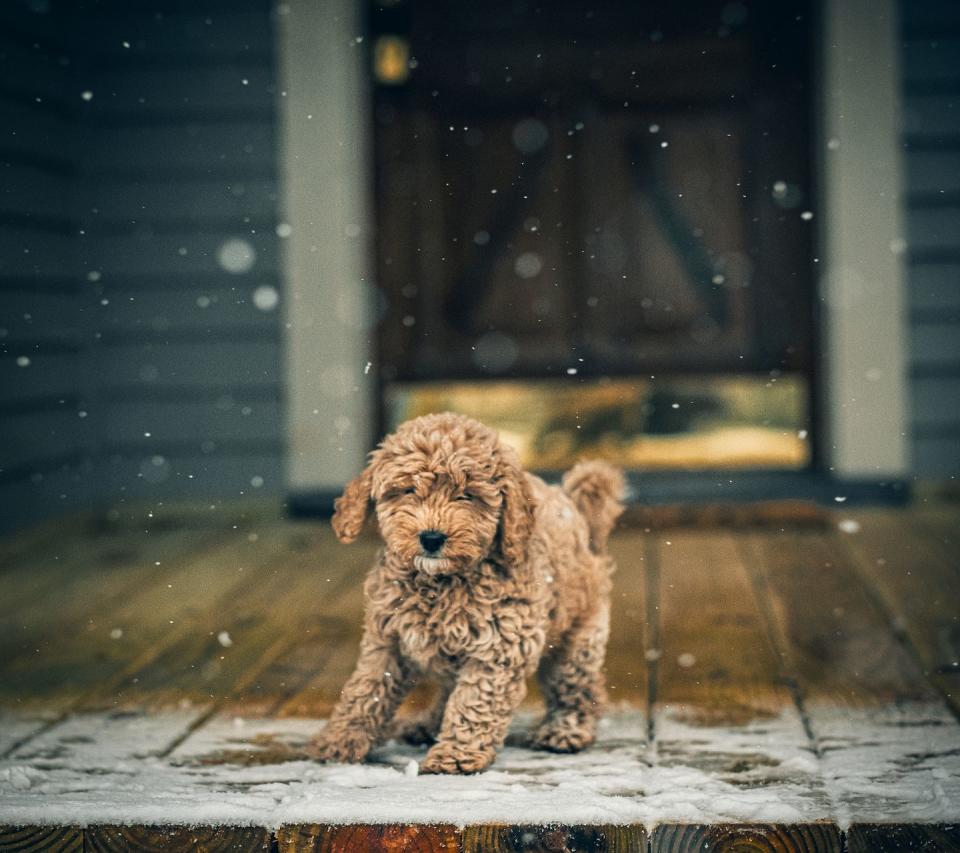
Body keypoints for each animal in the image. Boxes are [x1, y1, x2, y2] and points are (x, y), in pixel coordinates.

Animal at [308, 412, 624, 772]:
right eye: (407, 490)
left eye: (467, 496)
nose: (432, 537)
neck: (440, 582)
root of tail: (577, 511)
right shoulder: (386, 639)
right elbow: (366, 690)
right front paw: (338, 741)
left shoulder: (500, 645)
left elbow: (475, 700)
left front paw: (455, 755)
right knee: (448, 688)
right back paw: (426, 725)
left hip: (578, 636)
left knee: (578, 688)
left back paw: (565, 731)